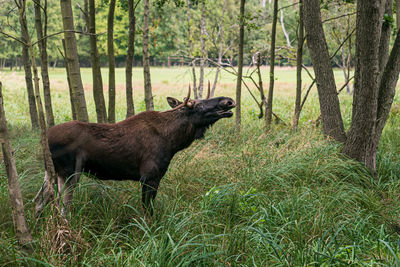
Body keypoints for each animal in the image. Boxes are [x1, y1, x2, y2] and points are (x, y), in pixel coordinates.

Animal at [35, 86, 234, 218]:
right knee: (62, 209)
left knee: (38, 202)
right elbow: (148, 214)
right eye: (198, 105)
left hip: (50, 171)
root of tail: (44, 139)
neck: (173, 141)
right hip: (69, 172)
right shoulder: (150, 176)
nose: (228, 101)